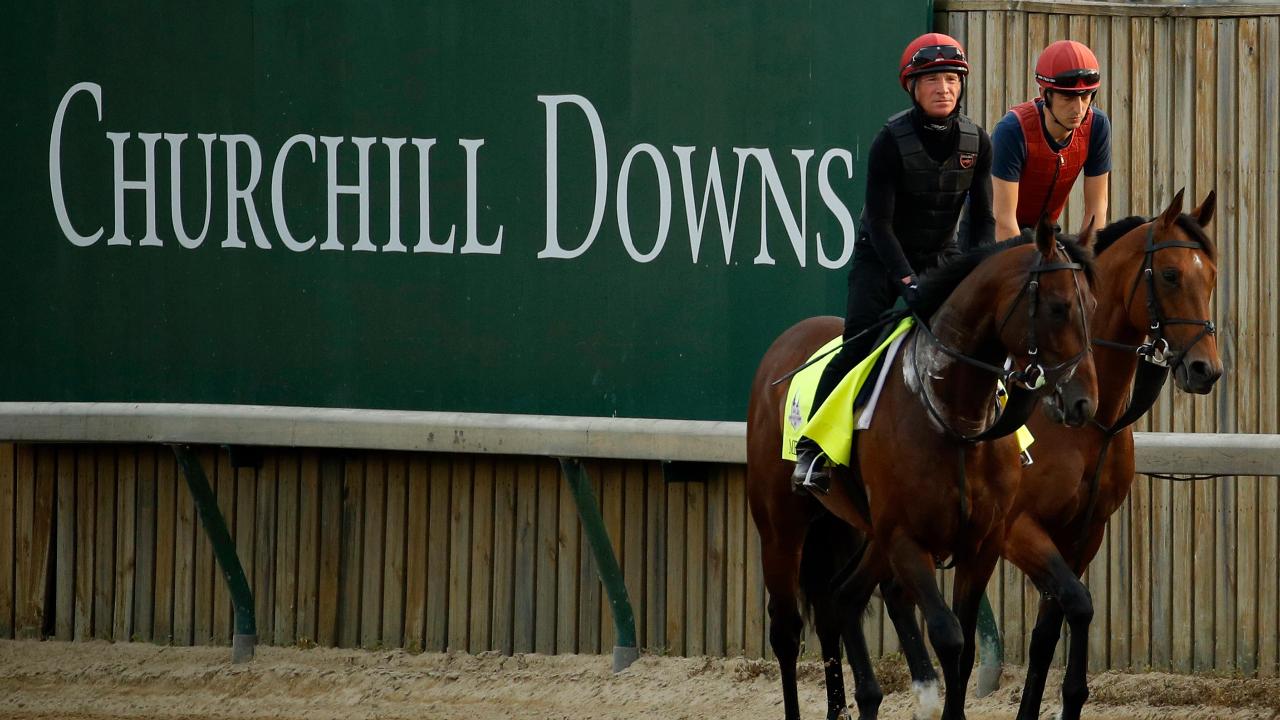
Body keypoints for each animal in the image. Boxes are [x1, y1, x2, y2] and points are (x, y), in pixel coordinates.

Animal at [747, 220, 1100, 717]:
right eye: (1058, 307)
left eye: (1093, 306)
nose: (1083, 403)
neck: (952, 414)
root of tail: (784, 344)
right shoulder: (906, 539)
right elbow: (949, 637)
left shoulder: (982, 544)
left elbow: (966, 649)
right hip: (782, 526)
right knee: (786, 630)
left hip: (865, 533)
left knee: (840, 597)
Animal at [1003, 190, 1223, 717]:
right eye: (1170, 274)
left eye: (1211, 274)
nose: (1206, 370)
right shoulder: (1019, 528)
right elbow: (1077, 605)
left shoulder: (1084, 532)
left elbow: (1050, 631)